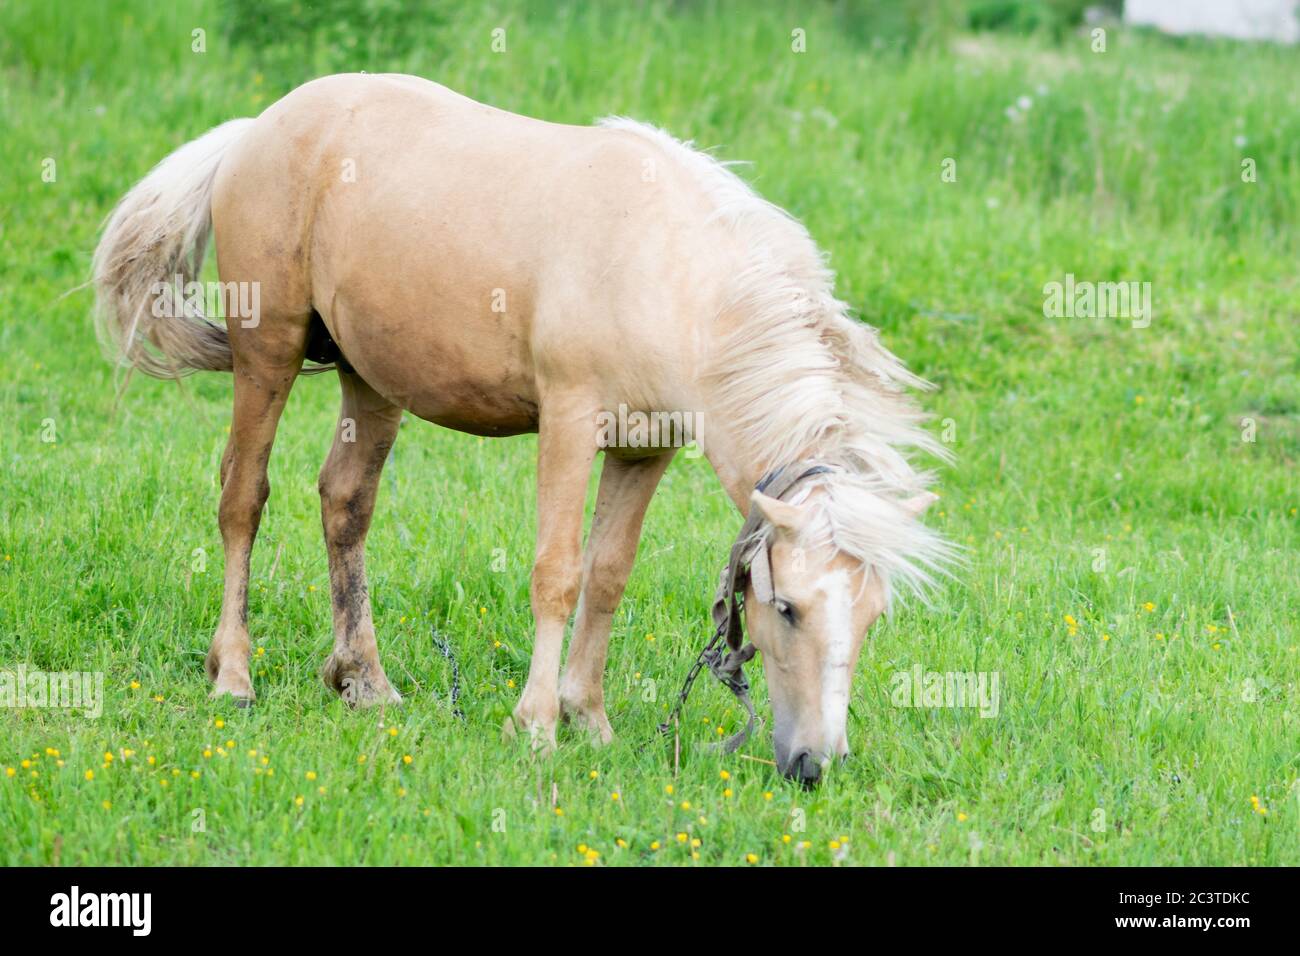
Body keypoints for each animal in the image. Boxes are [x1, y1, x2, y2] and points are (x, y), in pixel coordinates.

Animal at [92, 73, 950, 784]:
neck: (666, 272)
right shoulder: (570, 425)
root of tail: (260, 127)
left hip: (371, 380)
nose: (814, 765)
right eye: (788, 609)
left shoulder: (644, 452)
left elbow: (608, 577)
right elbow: (557, 573)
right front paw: (535, 726)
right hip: (266, 352)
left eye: (869, 617)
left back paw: (364, 681)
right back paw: (233, 676)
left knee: (345, 504)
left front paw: (589, 719)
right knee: (243, 495)